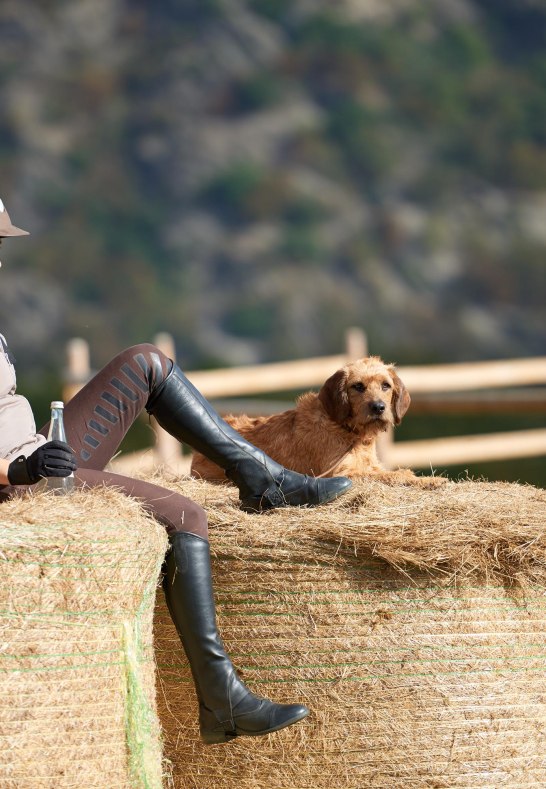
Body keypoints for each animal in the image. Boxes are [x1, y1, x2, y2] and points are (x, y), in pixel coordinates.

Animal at [189, 358, 444, 486]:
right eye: (358, 386)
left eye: (385, 385)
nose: (378, 408)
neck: (349, 432)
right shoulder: (341, 473)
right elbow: (393, 475)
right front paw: (425, 480)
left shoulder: (369, 466)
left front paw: (429, 479)